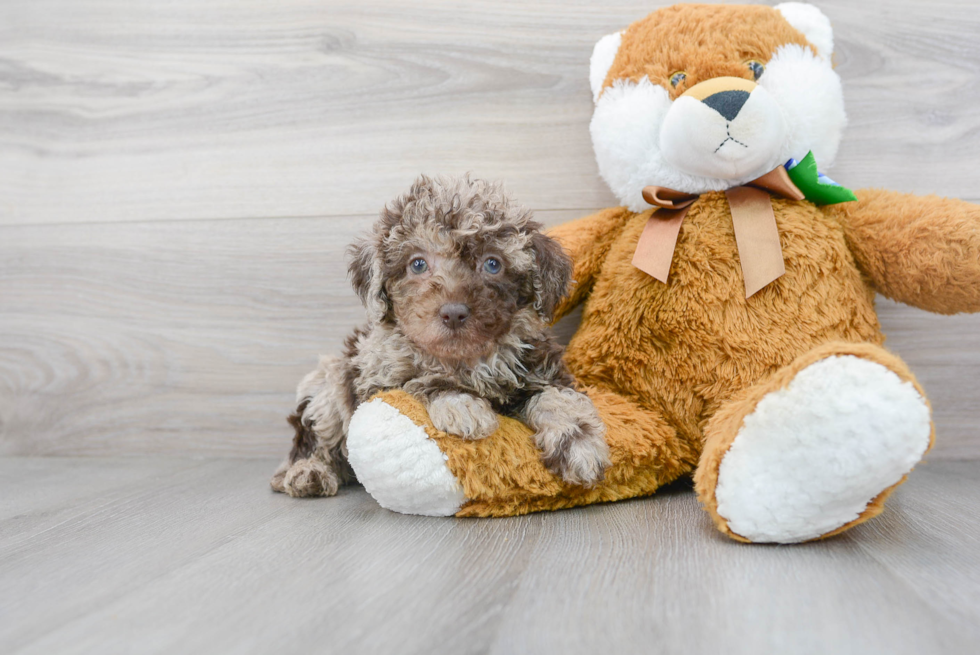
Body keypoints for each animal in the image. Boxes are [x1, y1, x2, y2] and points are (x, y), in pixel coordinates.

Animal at [272, 174, 608, 498]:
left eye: (493, 264)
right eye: (418, 264)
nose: (453, 313)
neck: (470, 359)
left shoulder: (541, 369)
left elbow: (557, 398)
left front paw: (579, 442)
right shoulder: (380, 376)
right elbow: (422, 378)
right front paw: (462, 405)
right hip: (329, 386)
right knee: (316, 439)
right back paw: (307, 472)